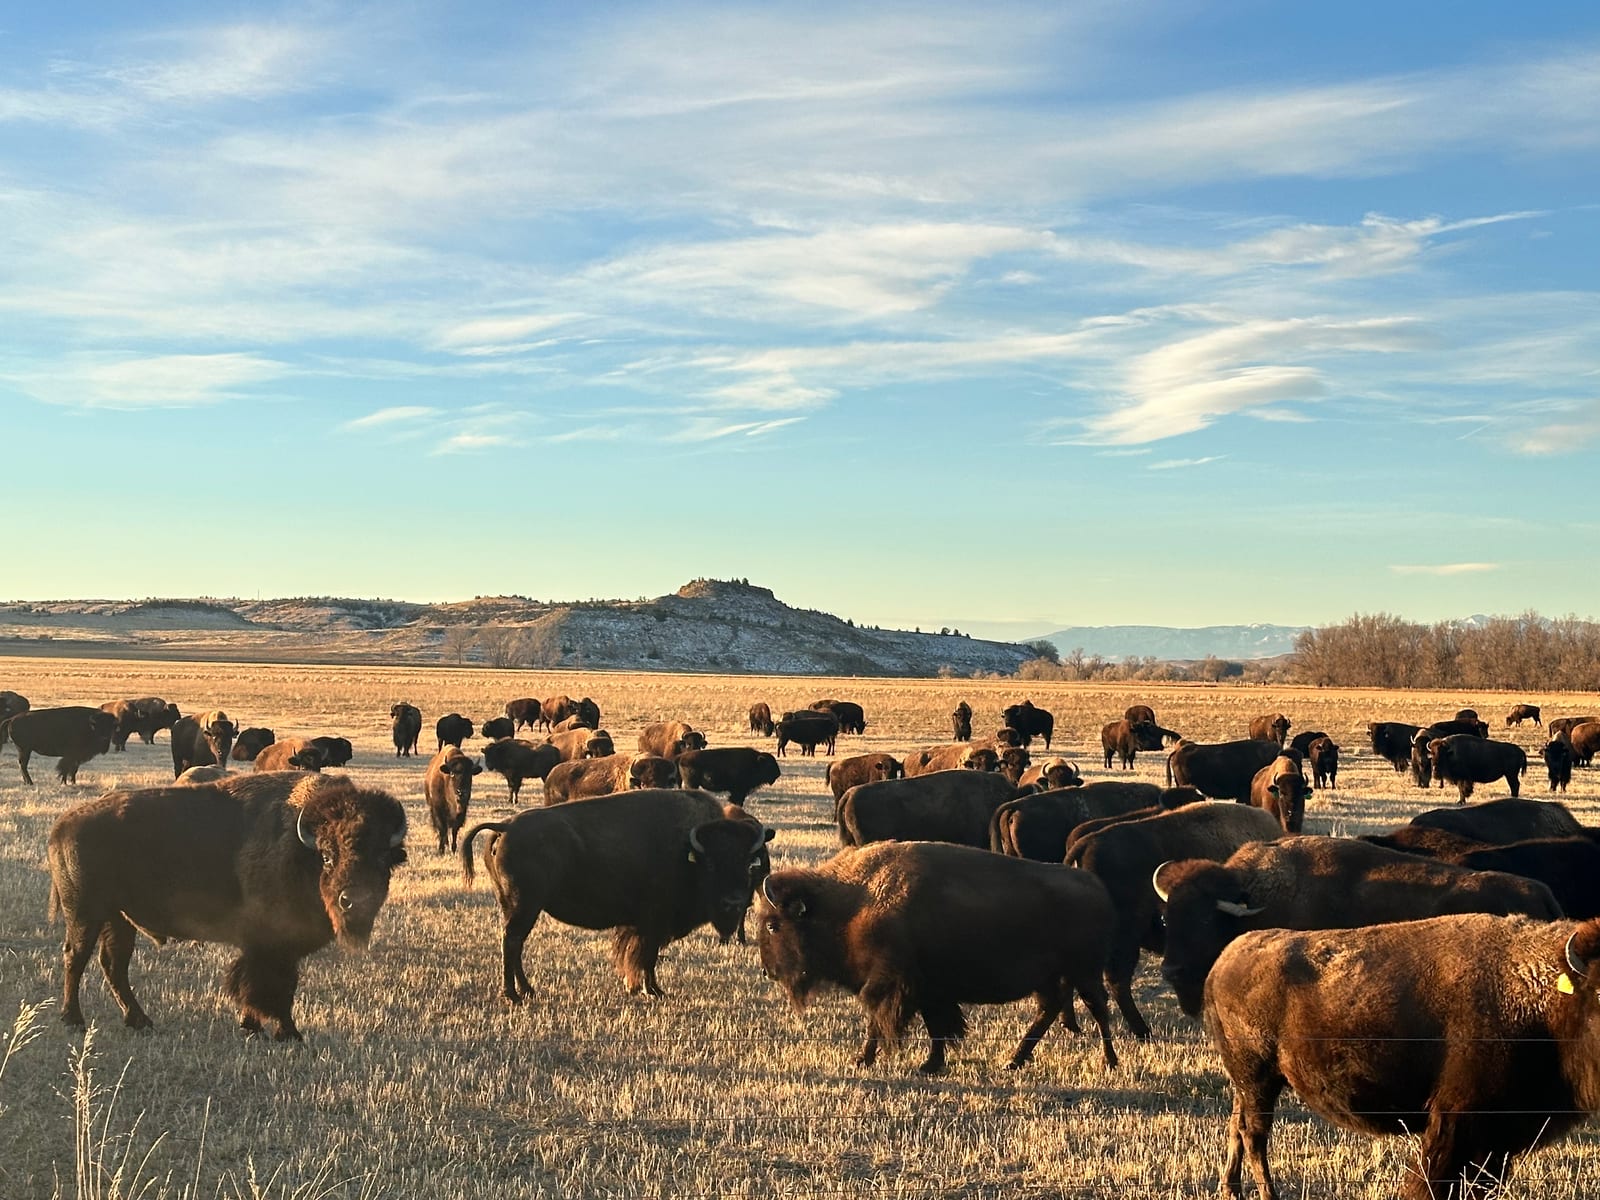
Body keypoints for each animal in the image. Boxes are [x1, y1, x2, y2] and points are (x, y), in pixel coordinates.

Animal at [49, 771, 407, 1039]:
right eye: (328, 856)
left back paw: (140, 1021)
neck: (301, 851)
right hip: (84, 914)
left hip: (118, 918)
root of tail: (62, 825)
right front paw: (286, 1033)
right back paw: (73, 1020)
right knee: (75, 958)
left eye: (383, 857)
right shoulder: (271, 945)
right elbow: (272, 985)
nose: (354, 900)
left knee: (114, 964)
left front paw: (254, 1027)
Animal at [461, 790, 772, 999]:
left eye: (747, 862)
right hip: (525, 906)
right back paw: (513, 994)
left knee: (514, 944)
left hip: (515, 906)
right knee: (512, 942)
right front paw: (651, 990)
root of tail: (506, 826)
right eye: (711, 864)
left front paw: (640, 987)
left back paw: (527, 990)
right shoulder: (653, 923)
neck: (686, 852)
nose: (733, 903)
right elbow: (646, 957)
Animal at [757, 841, 1117, 1074]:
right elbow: (935, 1027)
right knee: (1050, 1009)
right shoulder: (927, 991)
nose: (767, 971)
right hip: (1052, 978)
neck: (853, 901)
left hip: (1084, 973)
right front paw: (925, 1063)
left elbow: (883, 1022)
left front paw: (877, 1061)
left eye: (773, 925)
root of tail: (1096, 886)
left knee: (1098, 1010)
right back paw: (1013, 1060)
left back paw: (1108, 1061)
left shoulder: (892, 985)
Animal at [1204, 913, 1600, 1199]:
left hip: (1248, 1084)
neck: (1542, 996)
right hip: (1259, 1078)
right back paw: (1267, 1195)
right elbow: (1433, 1179)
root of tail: (1224, 959)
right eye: (1598, 997)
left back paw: (1231, 1192)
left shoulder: (1495, 1138)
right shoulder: (1457, 1121)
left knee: (1237, 1128)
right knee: (1254, 1135)